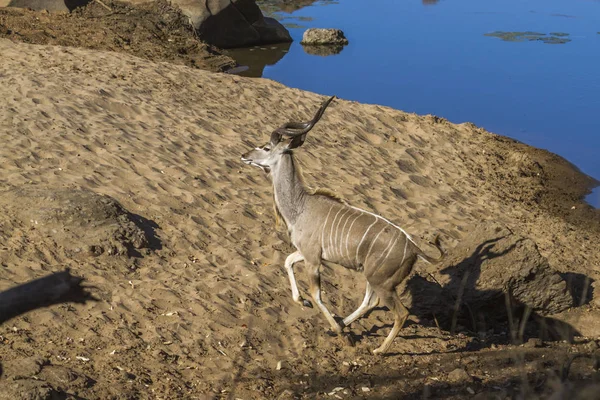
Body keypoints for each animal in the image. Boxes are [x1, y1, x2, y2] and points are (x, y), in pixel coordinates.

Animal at [241, 96, 442, 354]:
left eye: (266, 148)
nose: (244, 155)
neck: (301, 205)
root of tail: (413, 247)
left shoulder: (313, 259)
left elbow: (317, 295)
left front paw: (338, 331)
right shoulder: (307, 253)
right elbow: (287, 262)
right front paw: (302, 301)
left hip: (381, 282)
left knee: (401, 312)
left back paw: (378, 350)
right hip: (373, 278)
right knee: (371, 301)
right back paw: (345, 325)